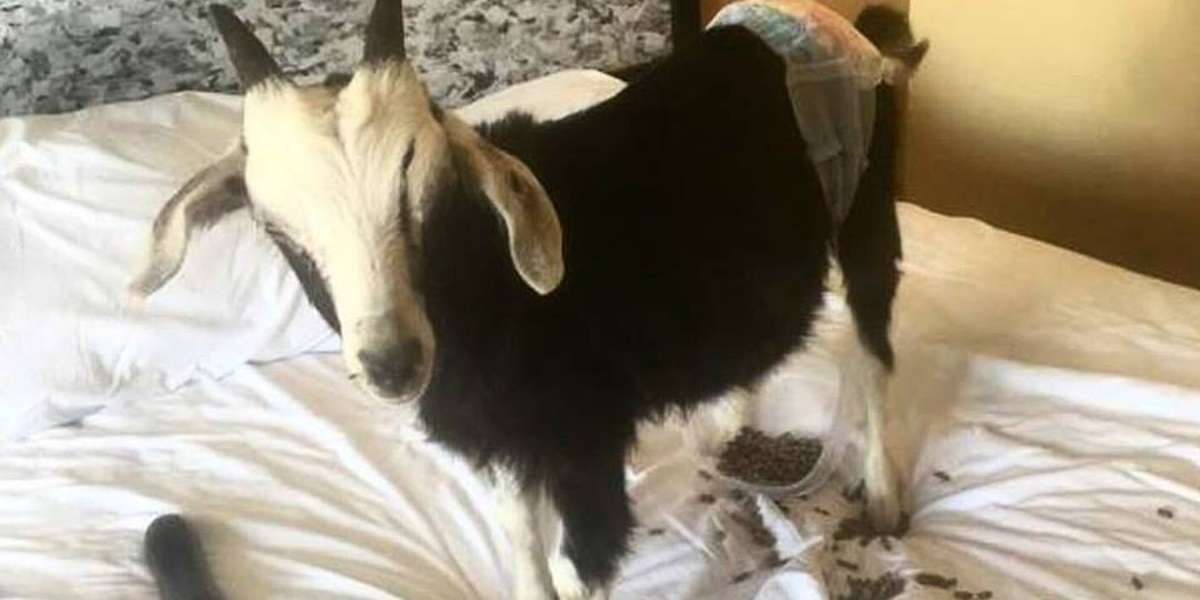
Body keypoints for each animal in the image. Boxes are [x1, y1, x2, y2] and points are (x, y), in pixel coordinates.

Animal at [133, 2, 926, 598]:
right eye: (277, 229)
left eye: (425, 189)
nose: (392, 362)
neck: (491, 298)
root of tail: (846, 25)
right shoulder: (506, 448)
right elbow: (520, 547)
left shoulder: (584, 443)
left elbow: (580, 564)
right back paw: (727, 430)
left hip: (867, 207)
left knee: (875, 343)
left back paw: (886, 501)